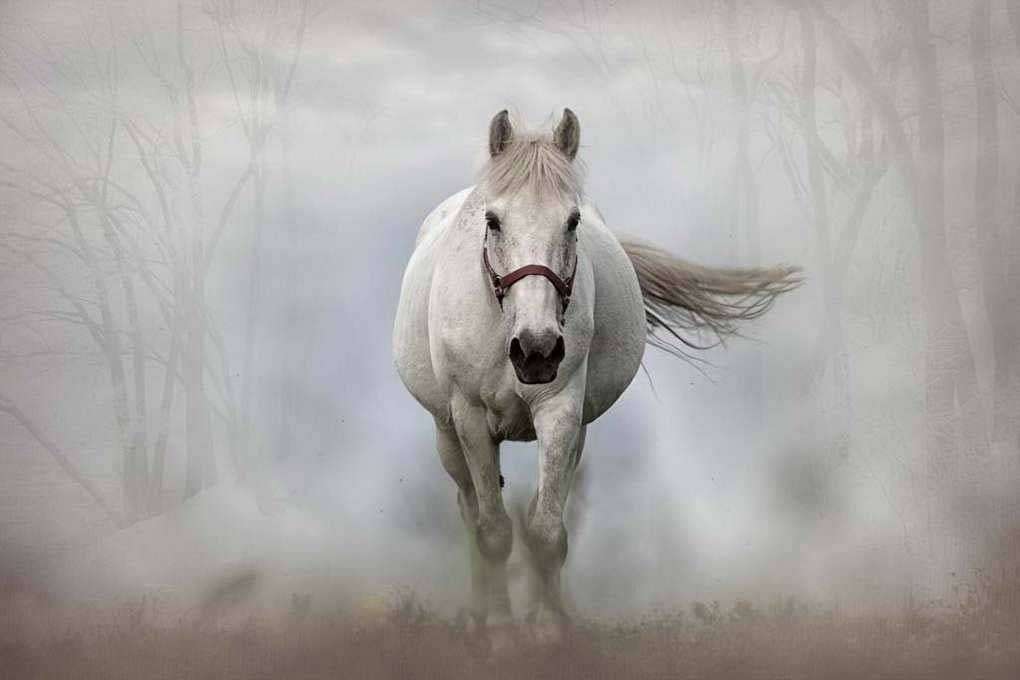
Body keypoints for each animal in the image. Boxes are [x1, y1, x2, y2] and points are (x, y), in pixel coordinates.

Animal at [392, 109, 799, 647]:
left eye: (572, 220)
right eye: (493, 220)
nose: (537, 350)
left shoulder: (562, 412)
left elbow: (546, 531)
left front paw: (549, 628)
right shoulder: (471, 419)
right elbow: (493, 531)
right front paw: (500, 633)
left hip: (575, 434)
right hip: (447, 433)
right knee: (470, 510)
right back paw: (480, 613)